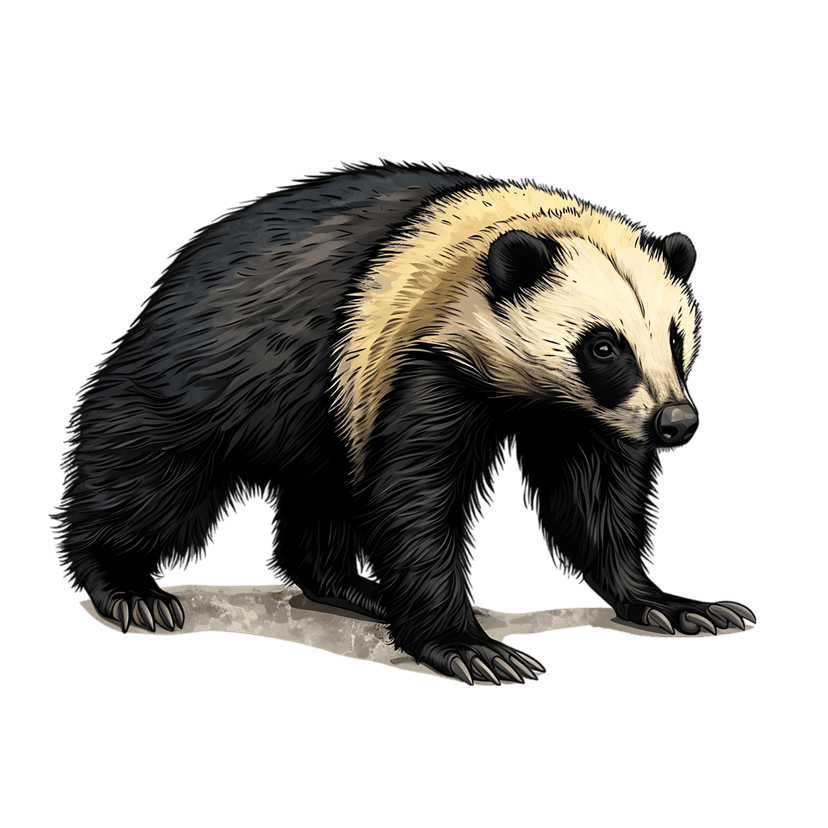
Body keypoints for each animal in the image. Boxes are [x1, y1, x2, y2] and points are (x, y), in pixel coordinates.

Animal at [52, 160, 755, 685]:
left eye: (675, 337)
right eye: (604, 346)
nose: (676, 422)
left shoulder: (578, 415)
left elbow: (597, 498)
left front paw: (671, 603)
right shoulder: (412, 353)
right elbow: (418, 496)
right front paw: (469, 644)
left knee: (324, 489)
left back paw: (347, 586)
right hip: (222, 367)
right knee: (146, 459)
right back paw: (125, 582)